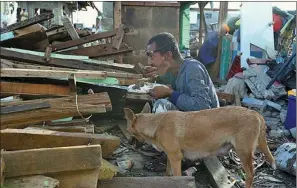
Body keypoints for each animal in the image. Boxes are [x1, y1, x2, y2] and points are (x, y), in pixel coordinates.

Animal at [123, 103, 276, 188]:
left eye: (128, 130)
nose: (128, 143)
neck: (156, 124)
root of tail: (255, 113)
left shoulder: (176, 158)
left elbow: (177, 177)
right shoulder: (171, 157)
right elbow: (168, 174)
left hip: (243, 153)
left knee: (250, 175)